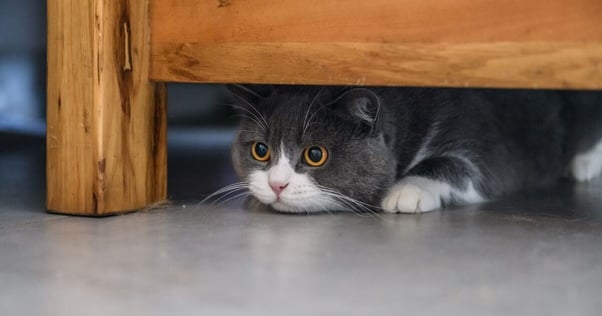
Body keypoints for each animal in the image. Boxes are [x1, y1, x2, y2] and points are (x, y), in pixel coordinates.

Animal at [225, 85, 600, 214]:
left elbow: (463, 166)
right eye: (260, 150)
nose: (276, 184)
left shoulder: (487, 145)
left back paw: (582, 164)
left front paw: (407, 191)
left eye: (315, 154)